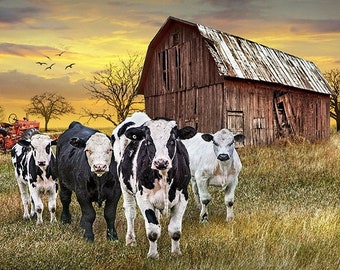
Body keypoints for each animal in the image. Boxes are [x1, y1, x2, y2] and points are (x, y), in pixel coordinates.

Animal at [119, 117, 197, 258]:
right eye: (148, 142)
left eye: (172, 141)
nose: (161, 162)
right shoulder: (143, 197)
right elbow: (153, 231)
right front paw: (153, 255)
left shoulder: (183, 196)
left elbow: (175, 230)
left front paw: (176, 253)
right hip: (125, 188)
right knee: (130, 212)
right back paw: (130, 240)